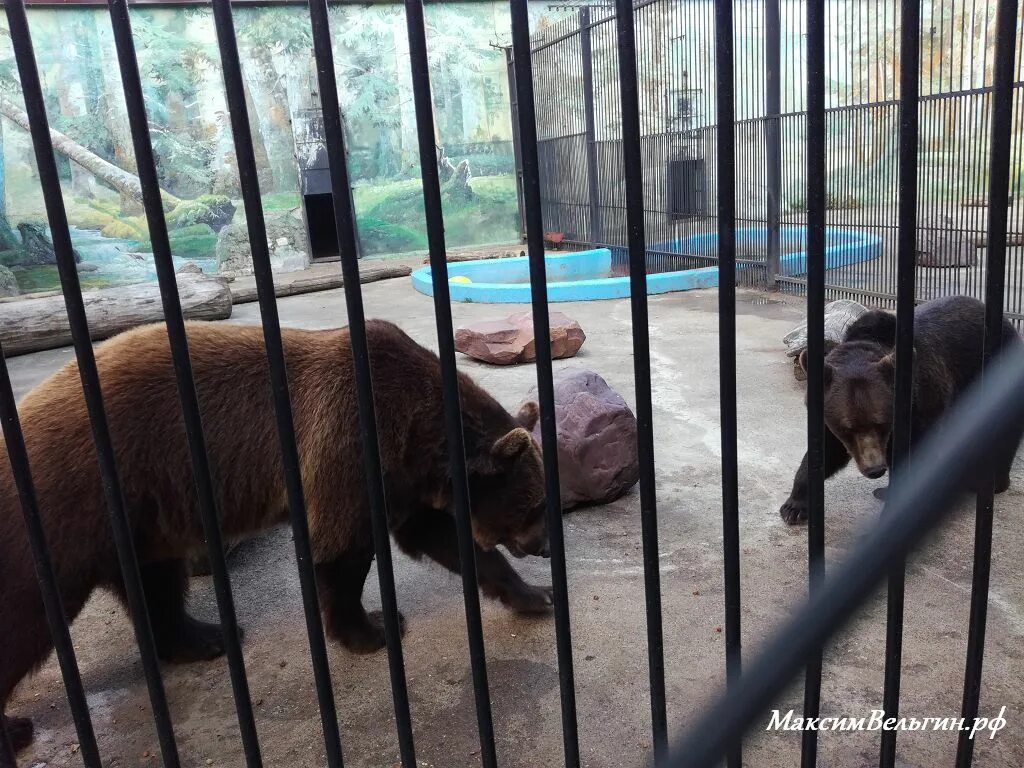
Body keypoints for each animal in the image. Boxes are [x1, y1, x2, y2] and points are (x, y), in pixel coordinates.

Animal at [0, 319, 557, 757]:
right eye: (532, 506)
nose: (545, 544)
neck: (422, 437)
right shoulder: (350, 444)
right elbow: (343, 552)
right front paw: (373, 627)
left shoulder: (405, 482)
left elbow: (448, 542)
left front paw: (536, 595)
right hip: (72, 500)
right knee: (28, 614)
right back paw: (15, 728)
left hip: (143, 515)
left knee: (157, 583)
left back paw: (206, 635)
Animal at [782, 292, 1015, 524]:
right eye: (847, 428)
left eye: (882, 422)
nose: (875, 469)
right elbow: (826, 452)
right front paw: (794, 506)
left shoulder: (919, 411)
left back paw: (993, 482)